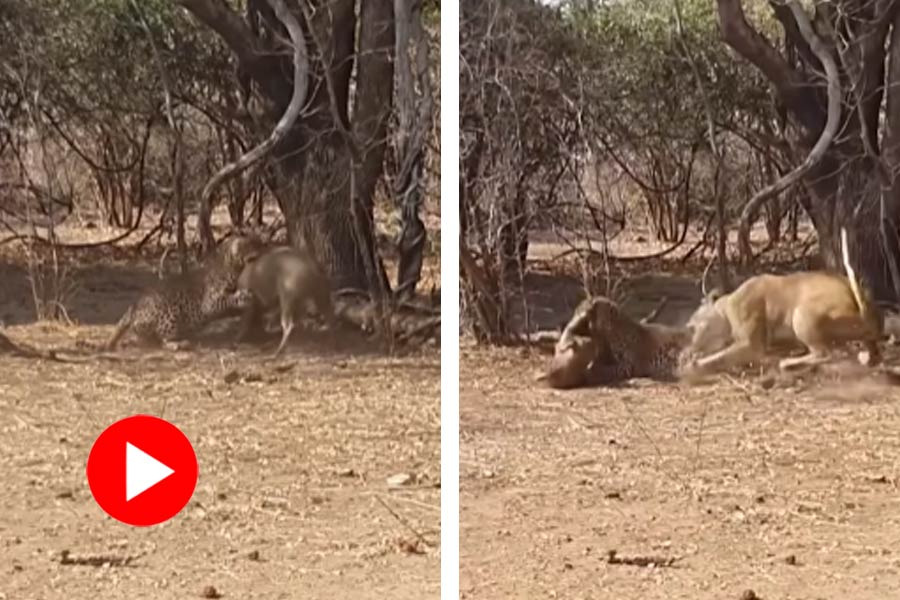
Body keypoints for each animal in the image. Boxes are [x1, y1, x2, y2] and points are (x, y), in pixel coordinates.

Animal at [105, 234, 265, 350]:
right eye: (252, 244)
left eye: (257, 242)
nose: (264, 247)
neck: (232, 268)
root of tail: (133, 306)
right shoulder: (209, 304)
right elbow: (229, 299)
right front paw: (244, 296)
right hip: (171, 311)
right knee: (162, 339)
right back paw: (180, 343)